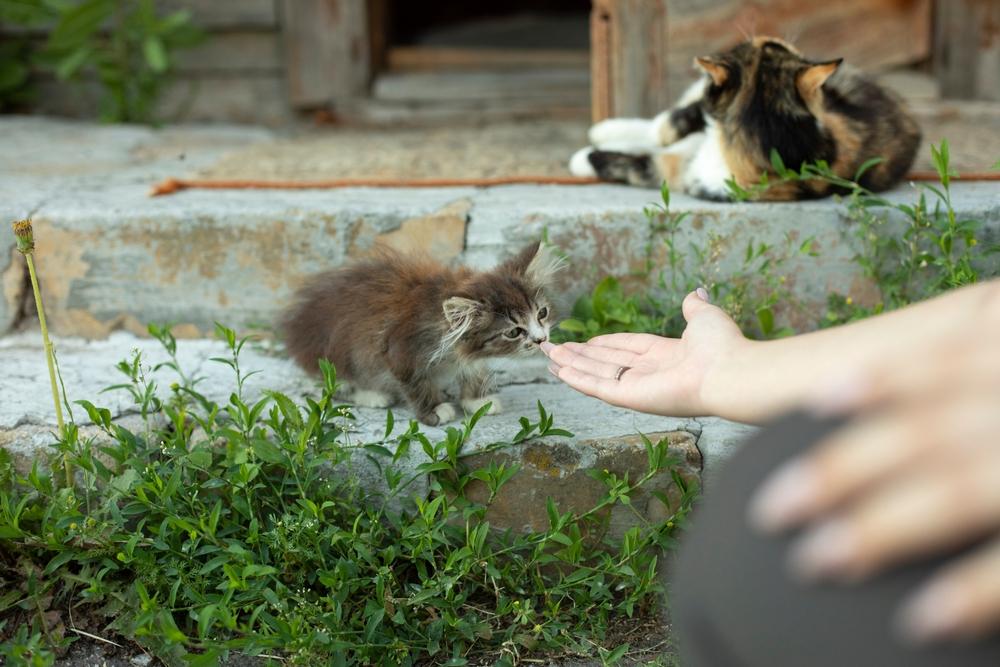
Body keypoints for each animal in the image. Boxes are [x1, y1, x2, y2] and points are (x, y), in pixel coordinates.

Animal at [282, 243, 564, 426]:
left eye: (542, 313)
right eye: (514, 331)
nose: (542, 339)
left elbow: (474, 370)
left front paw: (477, 401)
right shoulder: (400, 349)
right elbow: (417, 384)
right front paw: (435, 410)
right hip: (337, 355)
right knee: (334, 383)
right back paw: (371, 395)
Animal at [572, 36, 920, 201]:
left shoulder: (677, 173)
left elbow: (631, 164)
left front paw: (581, 159)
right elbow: (670, 125)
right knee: (669, 120)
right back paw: (606, 128)